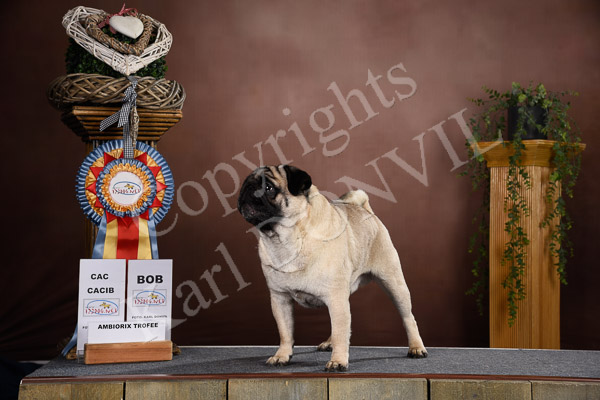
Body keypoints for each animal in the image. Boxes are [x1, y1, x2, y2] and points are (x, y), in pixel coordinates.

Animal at [237, 165, 427, 371]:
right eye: (245, 183)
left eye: (269, 188)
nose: (247, 189)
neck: (287, 240)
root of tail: (364, 209)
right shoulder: (280, 299)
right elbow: (285, 332)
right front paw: (282, 355)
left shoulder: (335, 298)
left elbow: (340, 333)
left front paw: (338, 361)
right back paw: (329, 343)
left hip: (393, 283)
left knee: (408, 318)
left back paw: (416, 347)